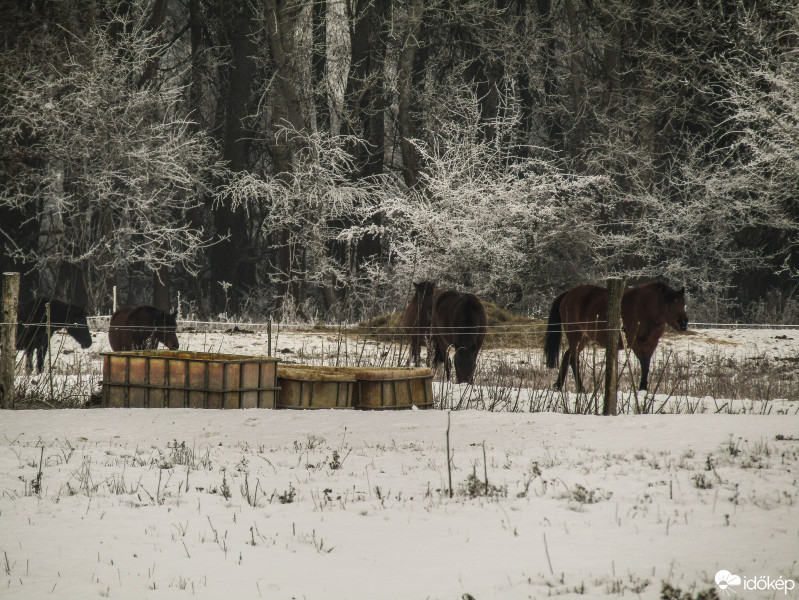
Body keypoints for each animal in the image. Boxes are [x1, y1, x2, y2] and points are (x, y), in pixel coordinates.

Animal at [548, 282, 692, 394]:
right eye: (670, 303)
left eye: (683, 303)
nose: (683, 323)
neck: (645, 309)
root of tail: (568, 294)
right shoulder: (636, 343)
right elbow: (644, 364)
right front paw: (642, 389)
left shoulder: (651, 344)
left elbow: (646, 365)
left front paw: (644, 389)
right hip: (575, 335)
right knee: (573, 359)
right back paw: (580, 388)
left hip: (584, 337)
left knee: (567, 355)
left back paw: (558, 386)